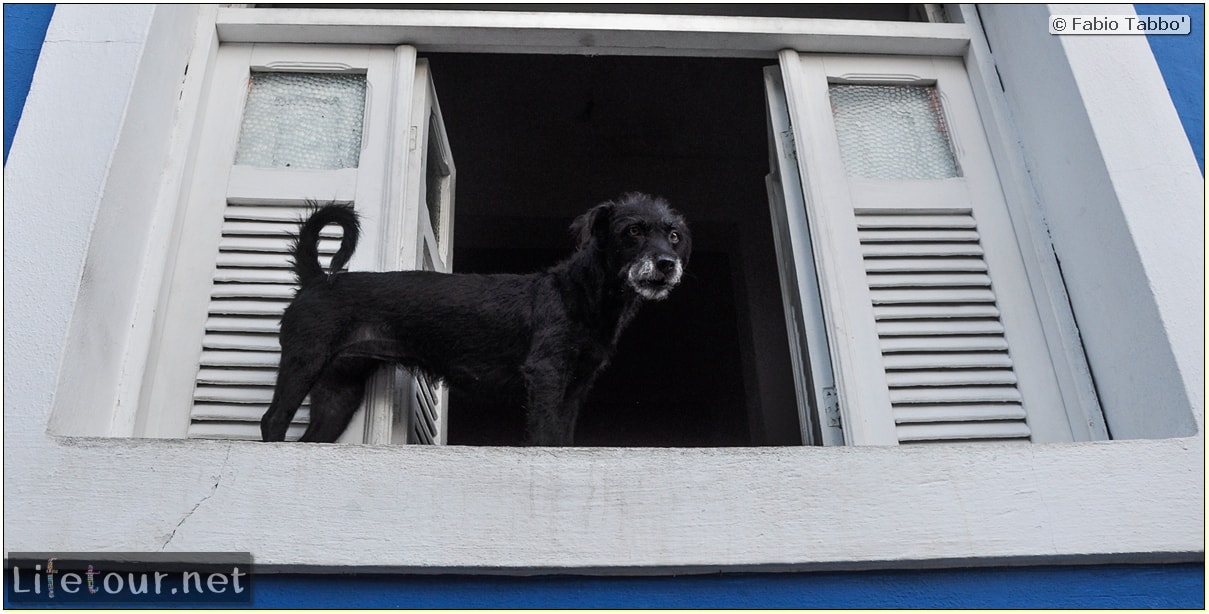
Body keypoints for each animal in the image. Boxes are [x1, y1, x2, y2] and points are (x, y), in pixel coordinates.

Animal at [259, 193, 691, 447]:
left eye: (673, 235)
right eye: (632, 230)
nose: (667, 264)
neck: (583, 293)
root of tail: (318, 278)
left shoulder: (576, 386)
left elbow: (562, 437)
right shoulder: (546, 373)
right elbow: (545, 436)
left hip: (338, 392)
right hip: (304, 360)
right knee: (272, 421)